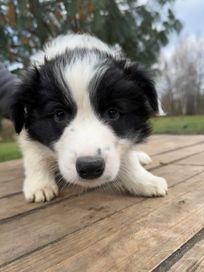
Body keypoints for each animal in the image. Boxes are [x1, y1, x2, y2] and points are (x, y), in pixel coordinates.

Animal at [11, 33, 167, 202]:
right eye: (59, 114)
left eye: (113, 112)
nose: (90, 167)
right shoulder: (29, 130)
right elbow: (34, 153)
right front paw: (39, 184)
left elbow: (127, 156)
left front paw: (143, 181)